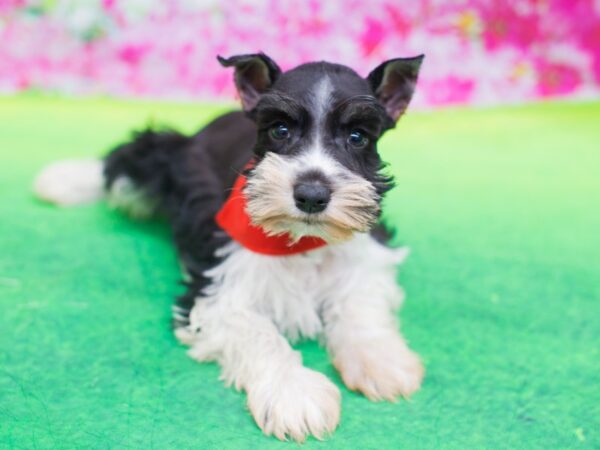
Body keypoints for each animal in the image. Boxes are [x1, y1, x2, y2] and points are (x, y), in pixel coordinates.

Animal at [34, 53, 426, 442]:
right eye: (279, 130)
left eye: (358, 137)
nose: (312, 195)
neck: (301, 243)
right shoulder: (216, 285)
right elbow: (257, 332)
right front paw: (294, 394)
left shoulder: (367, 256)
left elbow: (361, 304)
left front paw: (380, 359)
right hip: (167, 158)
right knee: (126, 160)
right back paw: (63, 180)